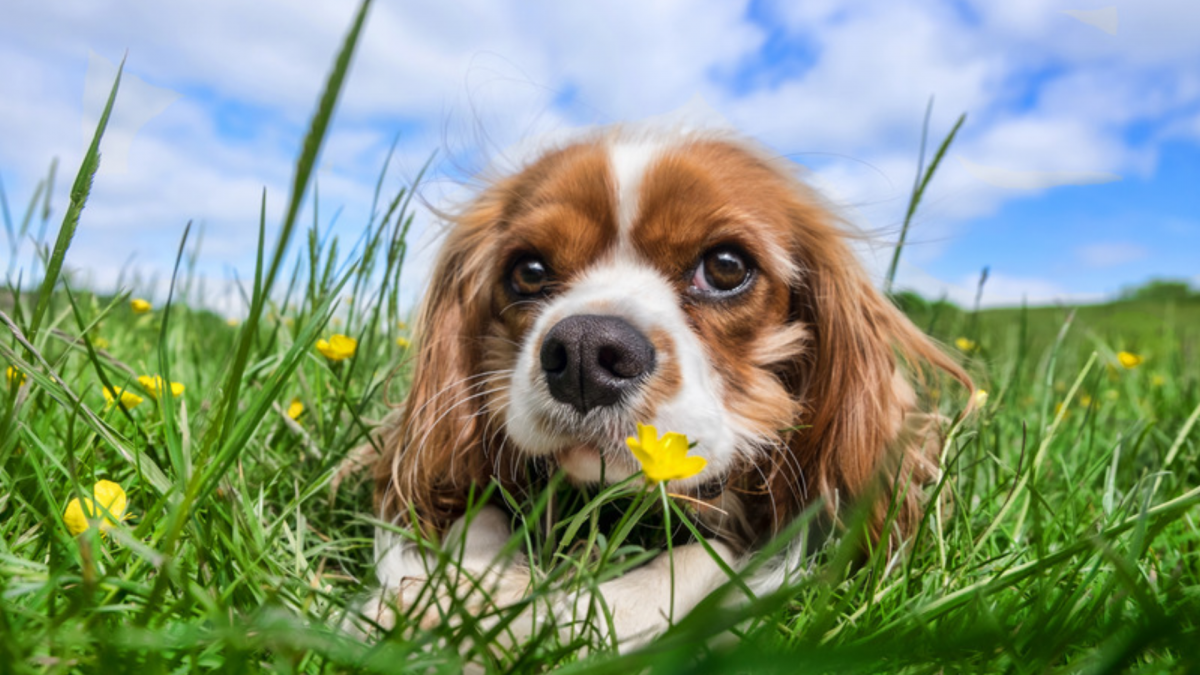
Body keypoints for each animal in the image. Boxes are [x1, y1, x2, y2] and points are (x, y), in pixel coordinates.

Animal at [357, 126, 974, 653]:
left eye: (726, 266)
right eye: (528, 271)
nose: (584, 352)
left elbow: (701, 562)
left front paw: (527, 618)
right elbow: (474, 516)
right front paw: (448, 595)